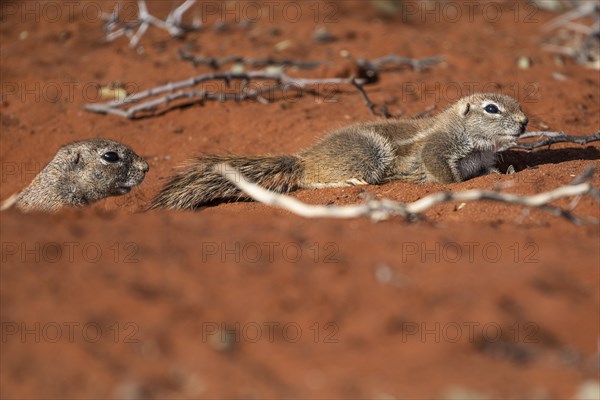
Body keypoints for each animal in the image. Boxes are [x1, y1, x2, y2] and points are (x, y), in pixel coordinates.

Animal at [151, 92, 528, 211]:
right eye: (492, 108)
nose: (525, 122)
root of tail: (303, 158)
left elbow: (488, 171)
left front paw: (504, 171)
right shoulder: (437, 150)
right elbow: (444, 174)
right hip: (370, 152)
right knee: (307, 181)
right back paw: (347, 184)